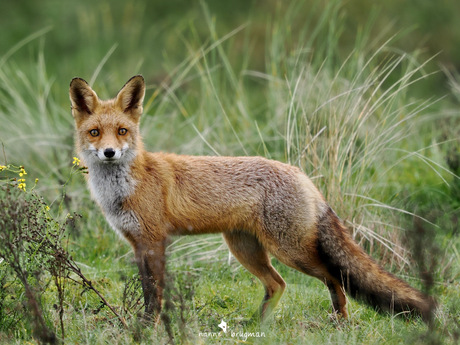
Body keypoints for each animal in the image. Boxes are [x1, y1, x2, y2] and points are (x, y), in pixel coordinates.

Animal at [71, 74, 434, 322]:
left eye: (121, 131)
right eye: (94, 133)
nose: (108, 152)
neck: (123, 187)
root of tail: (302, 175)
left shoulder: (154, 241)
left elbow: (153, 295)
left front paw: (148, 327)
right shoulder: (138, 244)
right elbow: (150, 291)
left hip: (290, 250)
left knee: (334, 277)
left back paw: (341, 321)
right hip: (246, 249)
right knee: (278, 285)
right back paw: (258, 326)